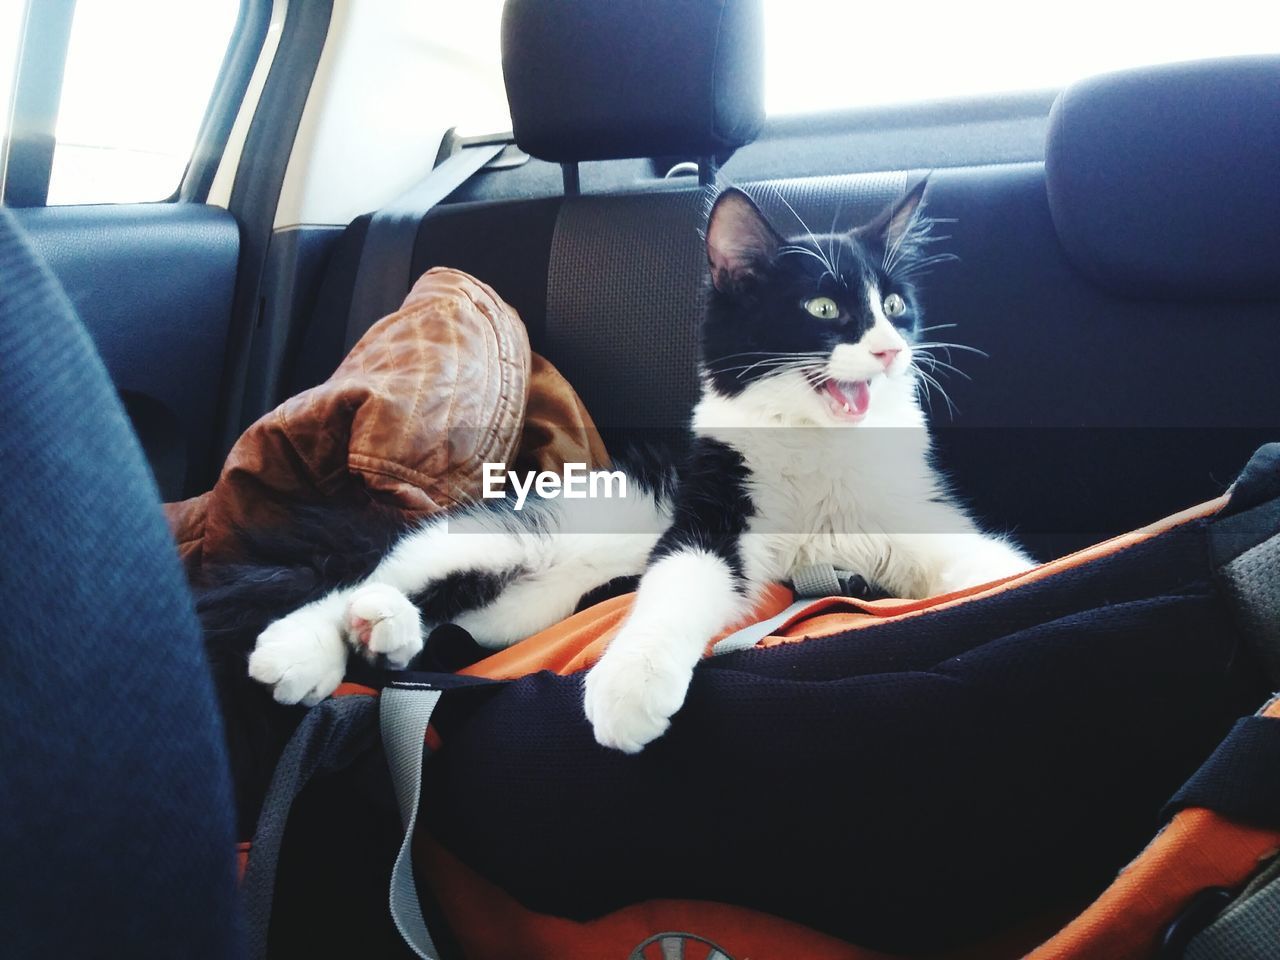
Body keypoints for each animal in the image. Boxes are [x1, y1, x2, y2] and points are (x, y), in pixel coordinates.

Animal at [247, 180, 1029, 752]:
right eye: (822, 307)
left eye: (895, 306)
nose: (893, 350)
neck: (823, 452)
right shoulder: (710, 514)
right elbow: (678, 584)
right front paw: (633, 682)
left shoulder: (909, 516)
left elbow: (994, 566)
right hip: (490, 533)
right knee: (370, 576)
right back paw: (304, 648)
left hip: (523, 613)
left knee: (440, 627)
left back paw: (386, 632)